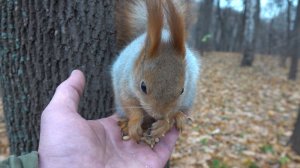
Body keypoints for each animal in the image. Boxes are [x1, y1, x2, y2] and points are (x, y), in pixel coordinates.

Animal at [111, 0, 200, 147]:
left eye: (182, 90)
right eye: (143, 87)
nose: (158, 115)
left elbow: (171, 112)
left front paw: (164, 124)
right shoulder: (124, 83)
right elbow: (130, 105)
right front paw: (134, 124)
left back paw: (179, 117)